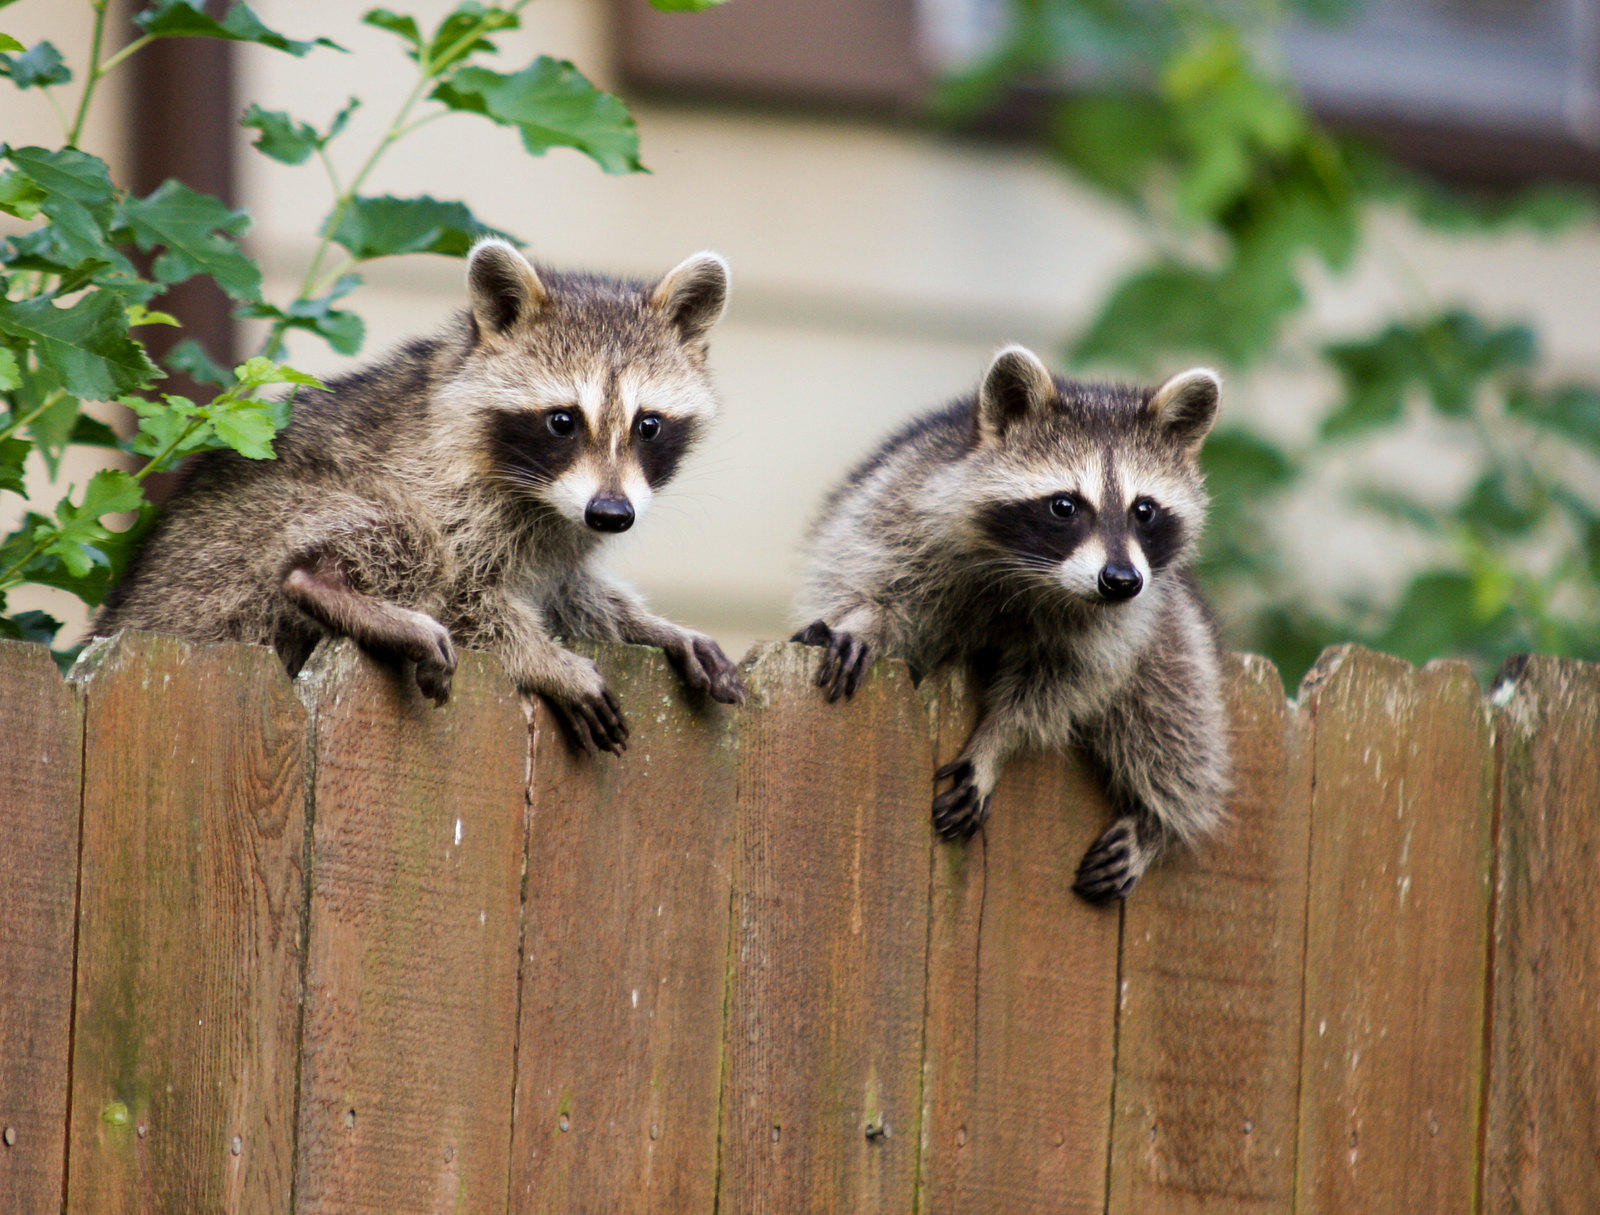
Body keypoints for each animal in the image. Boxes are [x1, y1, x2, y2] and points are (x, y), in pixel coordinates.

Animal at [96, 236, 745, 752]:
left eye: (648, 425)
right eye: (562, 421)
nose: (611, 514)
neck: (544, 496)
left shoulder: (566, 529)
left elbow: (567, 591)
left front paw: (652, 626)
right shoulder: (445, 486)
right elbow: (464, 595)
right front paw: (543, 659)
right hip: (240, 544)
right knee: (403, 540)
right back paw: (326, 586)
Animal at [793, 347, 1228, 896]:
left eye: (1144, 510)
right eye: (1064, 506)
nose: (1121, 580)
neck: (1032, 574)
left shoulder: (1126, 616)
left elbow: (1062, 682)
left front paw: (996, 742)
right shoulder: (900, 506)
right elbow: (869, 582)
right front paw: (863, 621)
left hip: (1171, 619)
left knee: (1173, 708)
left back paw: (1160, 823)